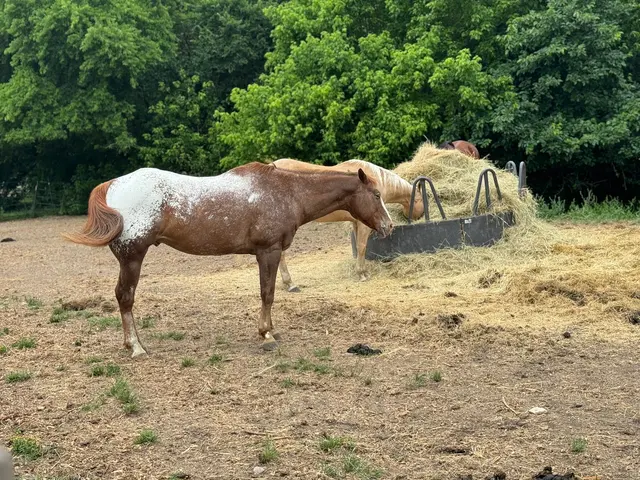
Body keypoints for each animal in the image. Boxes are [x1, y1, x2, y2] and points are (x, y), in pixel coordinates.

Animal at [63, 163, 393, 356]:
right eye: (376, 195)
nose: (389, 226)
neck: (287, 192)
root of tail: (113, 185)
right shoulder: (269, 251)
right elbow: (267, 293)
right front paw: (266, 334)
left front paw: (271, 329)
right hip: (132, 258)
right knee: (125, 297)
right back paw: (136, 347)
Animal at [272, 158, 425, 289]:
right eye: (377, 196)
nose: (390, 225)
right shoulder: (364, 225)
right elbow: (362, 247)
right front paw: (361, 274)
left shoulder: (356, 223)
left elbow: (358, 248)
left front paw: (363, 271)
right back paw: (290, 283)